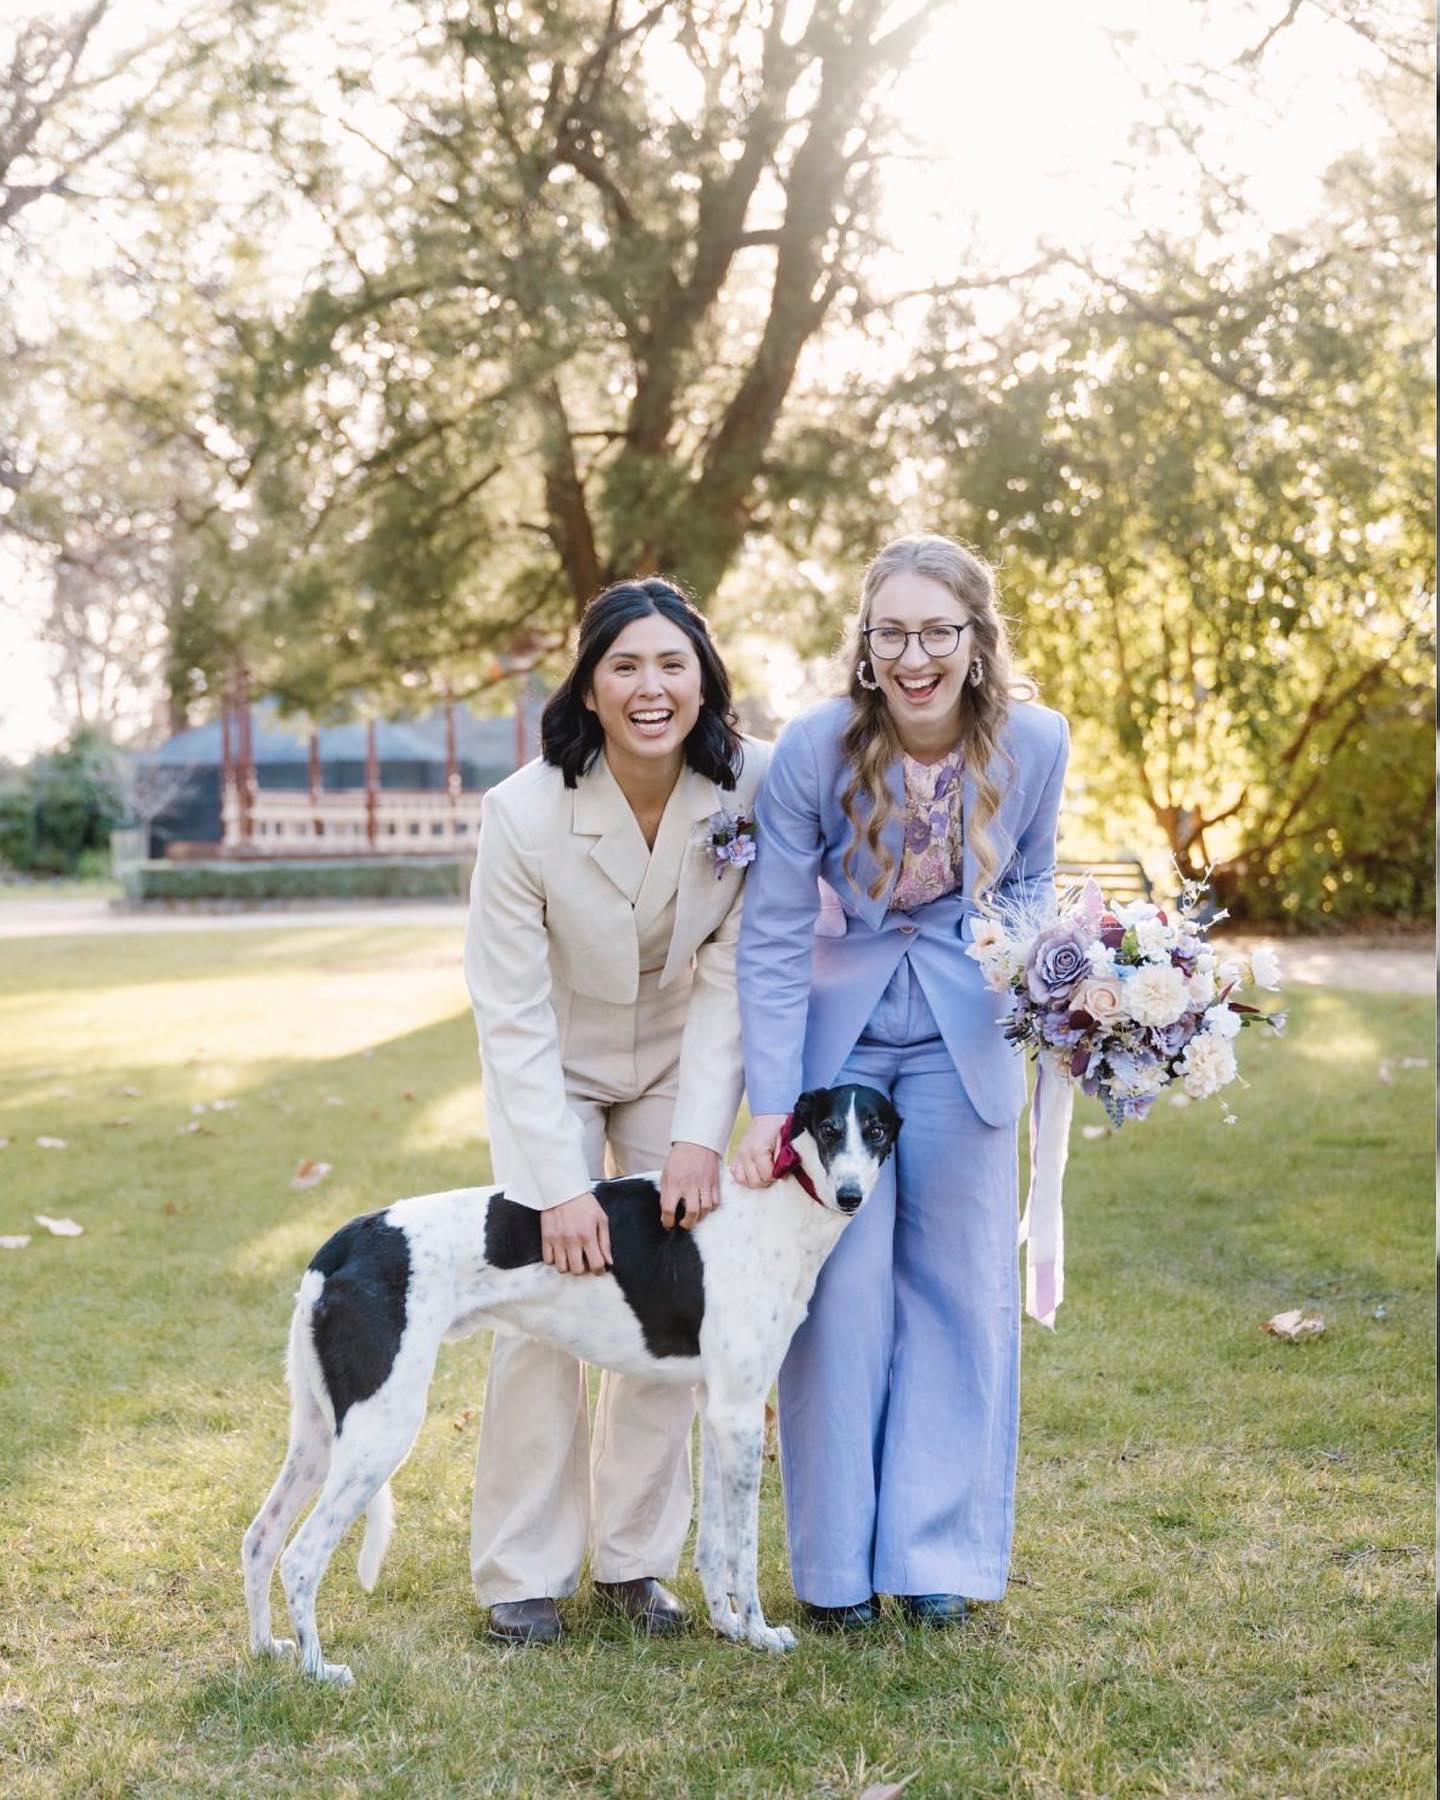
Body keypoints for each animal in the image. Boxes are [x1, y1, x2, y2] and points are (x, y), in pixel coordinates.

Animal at [246, 1080, 900, 1684]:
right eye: (828, 1130)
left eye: (875, 1131)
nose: (849, 1196)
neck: (774, 1210)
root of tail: (335, 1248)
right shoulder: (741, 1412)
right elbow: (744, 1547)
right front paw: (762, 1634)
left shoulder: (720, 1409)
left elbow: (715, 1546)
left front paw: (731, 1627)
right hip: (379, 1430)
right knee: (300, 1558)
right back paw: (318, 1671)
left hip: (318, 1434)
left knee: (259, 1538)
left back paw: (266, 1651)